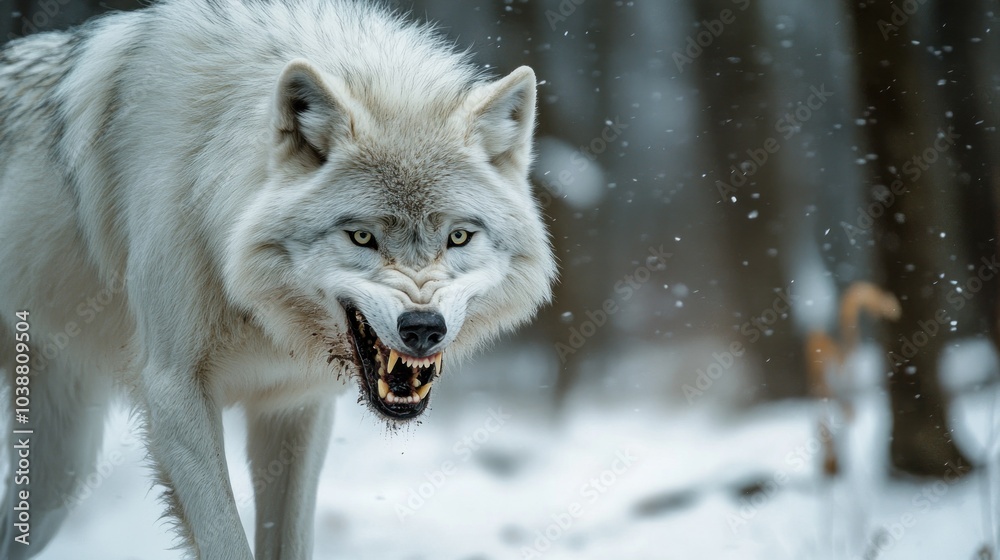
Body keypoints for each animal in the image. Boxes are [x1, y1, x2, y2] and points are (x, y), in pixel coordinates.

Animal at [0, 0, 556, 557]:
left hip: (57, 479)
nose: (423, 327)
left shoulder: (295, 403)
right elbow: (225, 536)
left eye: (458, 236)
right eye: (362, 237)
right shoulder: (174, 390)